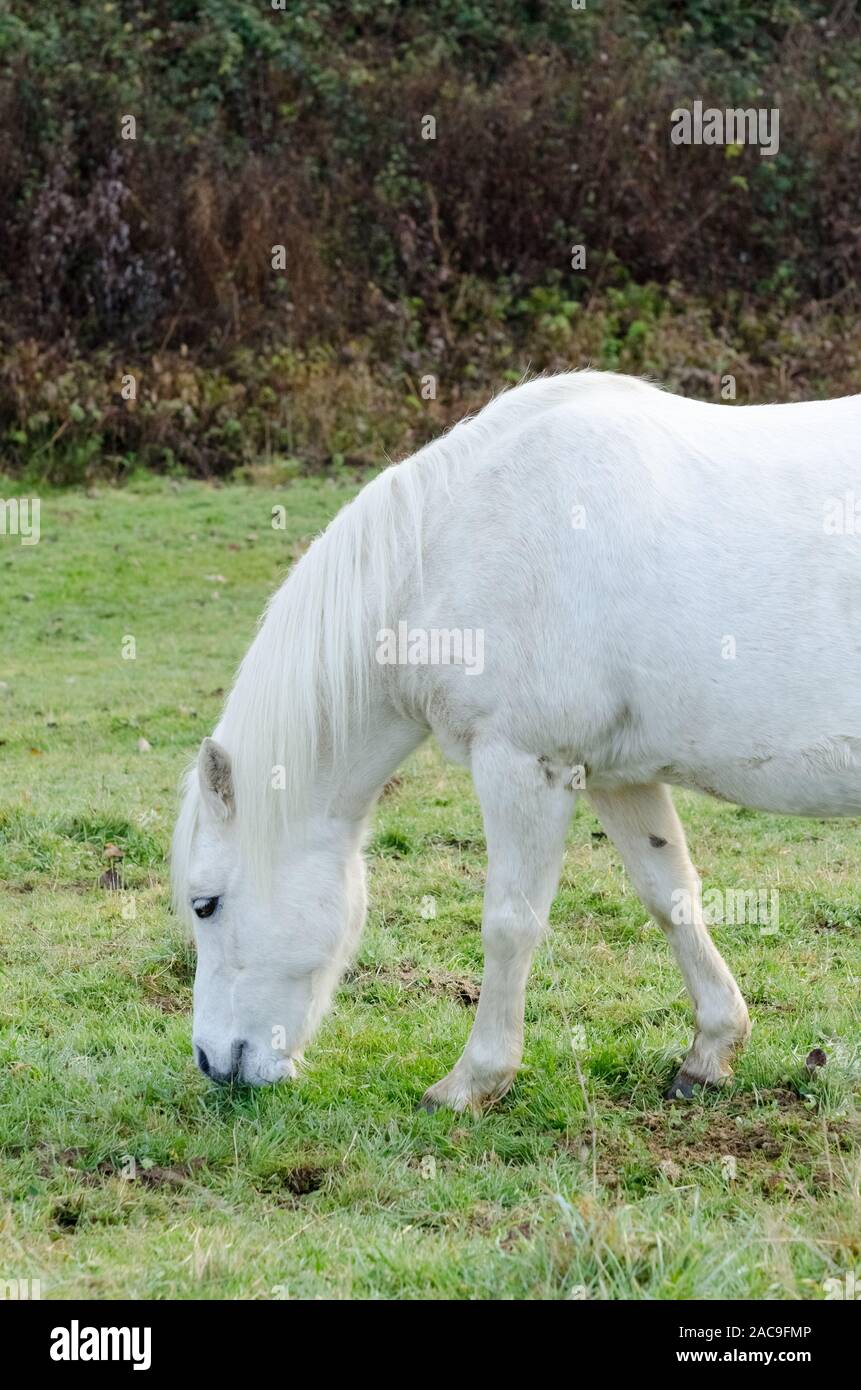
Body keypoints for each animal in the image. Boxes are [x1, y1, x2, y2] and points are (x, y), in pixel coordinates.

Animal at [171, 369, 856, 1106]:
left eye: (205, 905)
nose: (212, 1061)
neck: (455, 540)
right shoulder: (617, 777)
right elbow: (669, 896)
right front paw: (711, 1049)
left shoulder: (524, 765)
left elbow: (509, 923)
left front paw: (473, 1080)